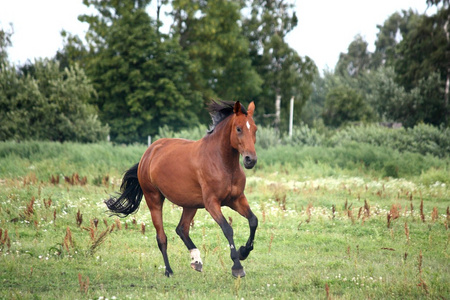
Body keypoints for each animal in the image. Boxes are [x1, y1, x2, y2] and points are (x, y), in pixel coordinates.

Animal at [105, 99, 258, 278]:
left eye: (255, 129)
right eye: (239, 128)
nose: (250, 160)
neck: (223, 163)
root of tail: (148, 153)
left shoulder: (236, 199)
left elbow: (253, 221)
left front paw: (243, 251)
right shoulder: (212, 203)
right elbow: (227, 229)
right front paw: (237, 266)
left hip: (190, 204)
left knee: (182, 229)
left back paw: (196, 261)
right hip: (154, 199)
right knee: (162, 237)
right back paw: (169, 270)